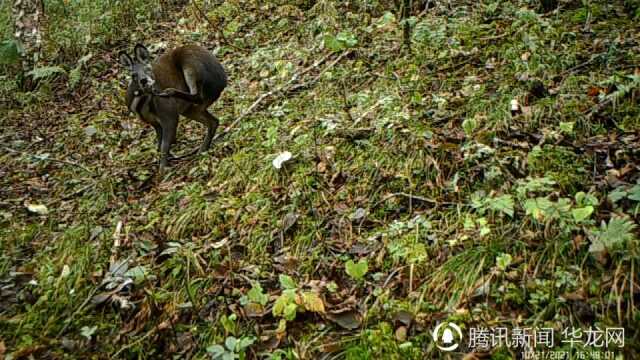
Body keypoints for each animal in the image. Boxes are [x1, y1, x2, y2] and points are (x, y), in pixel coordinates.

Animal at [118, 44, 228, 172]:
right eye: (133, 75)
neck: (141, 104)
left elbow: (164, 145)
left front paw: (162, 171)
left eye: (148, 69)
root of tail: (223, 82)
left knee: (197, 95)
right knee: (213, 121)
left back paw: (168, 92)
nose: (144, 80)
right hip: (189, 109)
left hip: (191, 64)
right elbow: (159, 143)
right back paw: (201, 150)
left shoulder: (169, 114)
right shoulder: (152, 121)